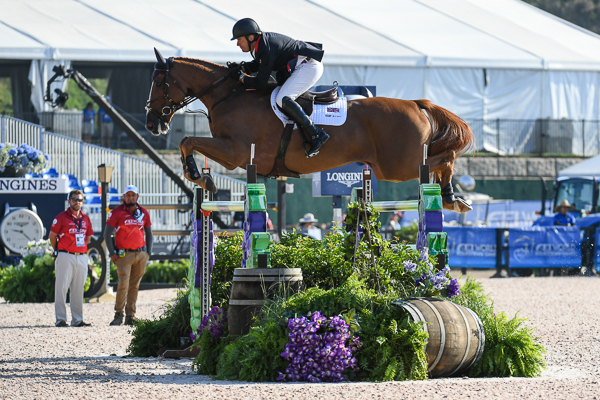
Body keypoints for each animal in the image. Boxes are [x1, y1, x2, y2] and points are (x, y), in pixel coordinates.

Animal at [144, 50, 474, 212]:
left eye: (159, 82)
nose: (151, 123)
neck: (229, 95)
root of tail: (416, 103)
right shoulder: (233, 155)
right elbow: (188, 142)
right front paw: (202, 177)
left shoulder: (236, 152)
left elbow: (188, 140)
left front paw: (196, 174)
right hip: (390, 166)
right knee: (440, 161)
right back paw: (451, 198)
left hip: (397, 166)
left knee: (443, 160)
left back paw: (451, 197)